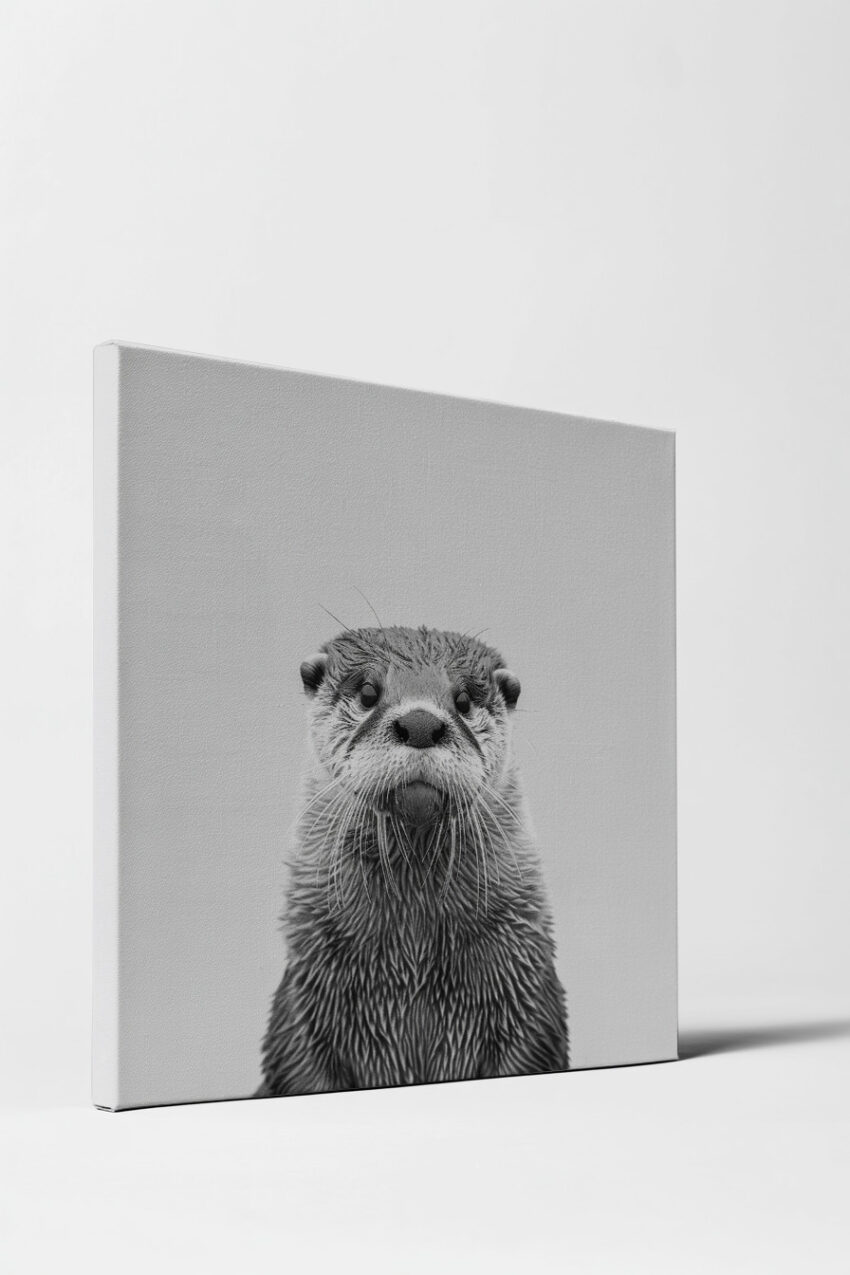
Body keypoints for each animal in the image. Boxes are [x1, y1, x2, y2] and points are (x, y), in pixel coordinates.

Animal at [259, 625, 568, 1097]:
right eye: (369, 691)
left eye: (463, 700)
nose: (421, 723)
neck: (413, 957)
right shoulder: (303, 1002)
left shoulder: (529, 994)